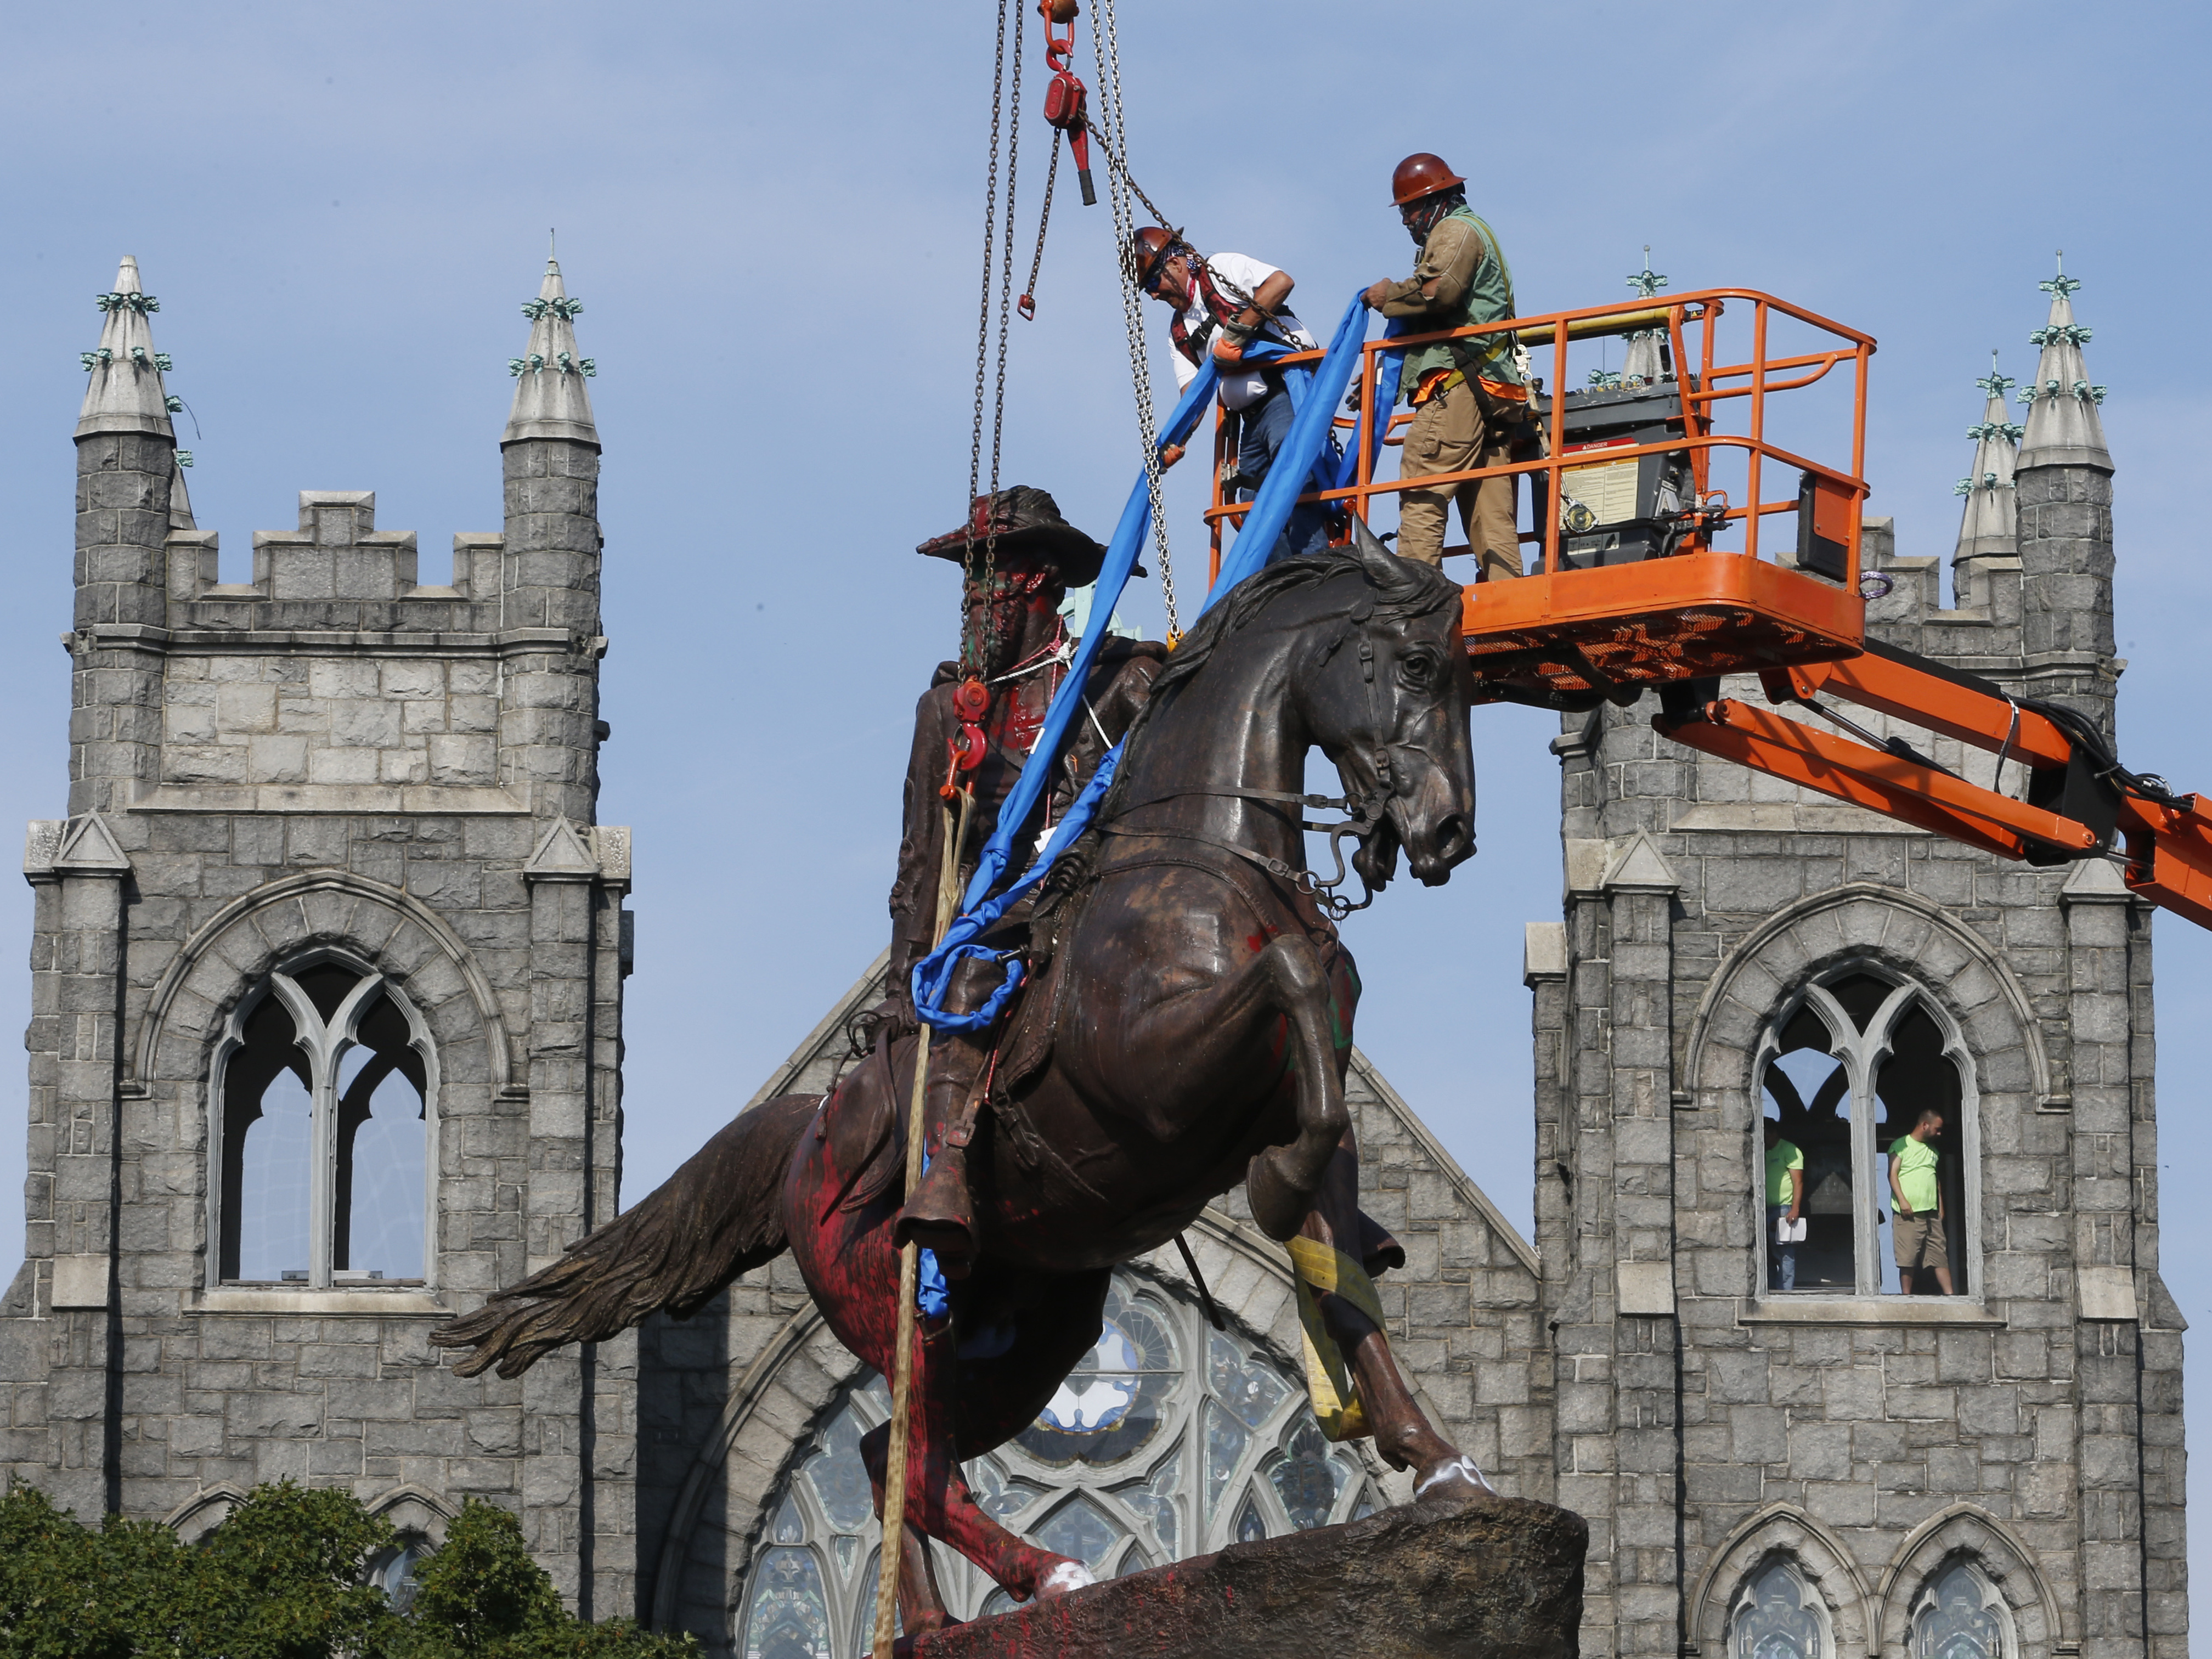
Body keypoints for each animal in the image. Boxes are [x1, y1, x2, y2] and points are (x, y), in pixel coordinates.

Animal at [433, 533, 1486, 1637]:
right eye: (1416, 666)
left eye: (1472, 675)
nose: (1447, 830)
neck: (1203, 858)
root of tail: (806, 1140)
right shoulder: (1160, 1077)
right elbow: (1287, 981)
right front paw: (1281, 1188)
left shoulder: (1301, 1121)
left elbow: (1346, 1281)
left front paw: (1436, 1462)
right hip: (894, 1298)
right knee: (920, 1464)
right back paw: (1046, 1571)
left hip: (1033, 1338)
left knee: (891, 1453)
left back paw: (942, 1618)